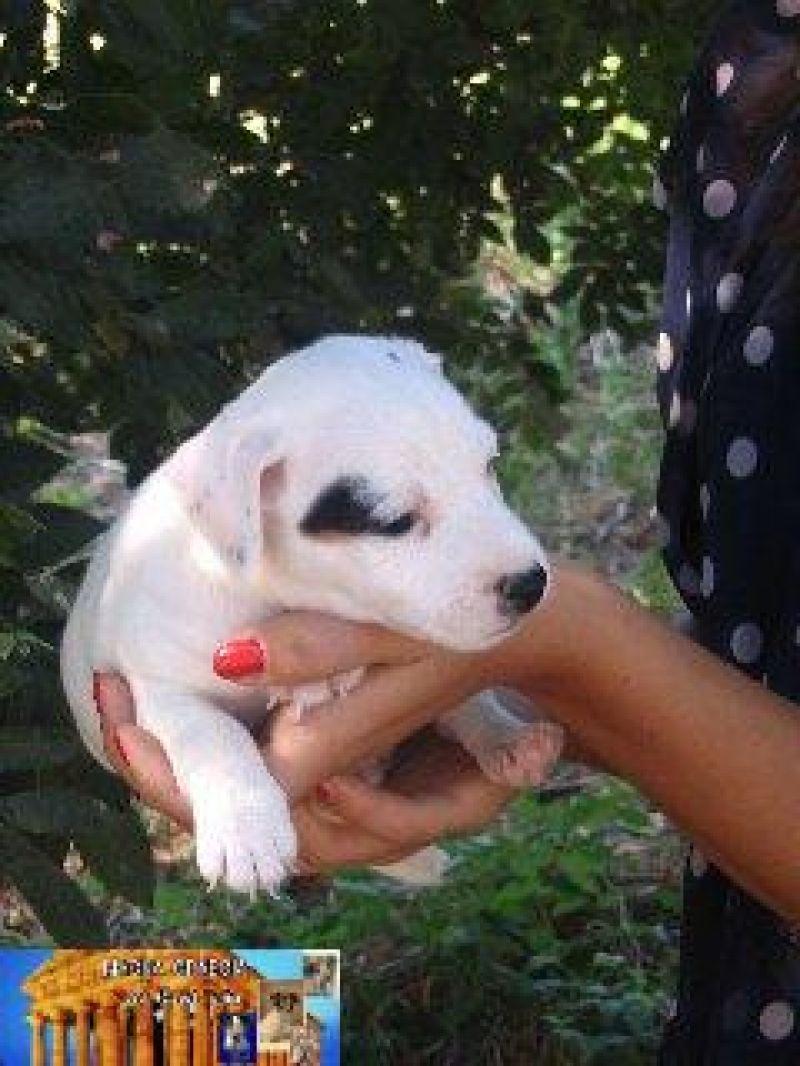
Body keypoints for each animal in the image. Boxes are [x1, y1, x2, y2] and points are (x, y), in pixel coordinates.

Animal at [61, 336, 563, 895]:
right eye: (397, 522)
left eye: (489, 465)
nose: (531, 584)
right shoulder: (162, 687)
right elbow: (212, 733)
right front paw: (246, 829)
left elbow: (458, 697)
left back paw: (507, 741)